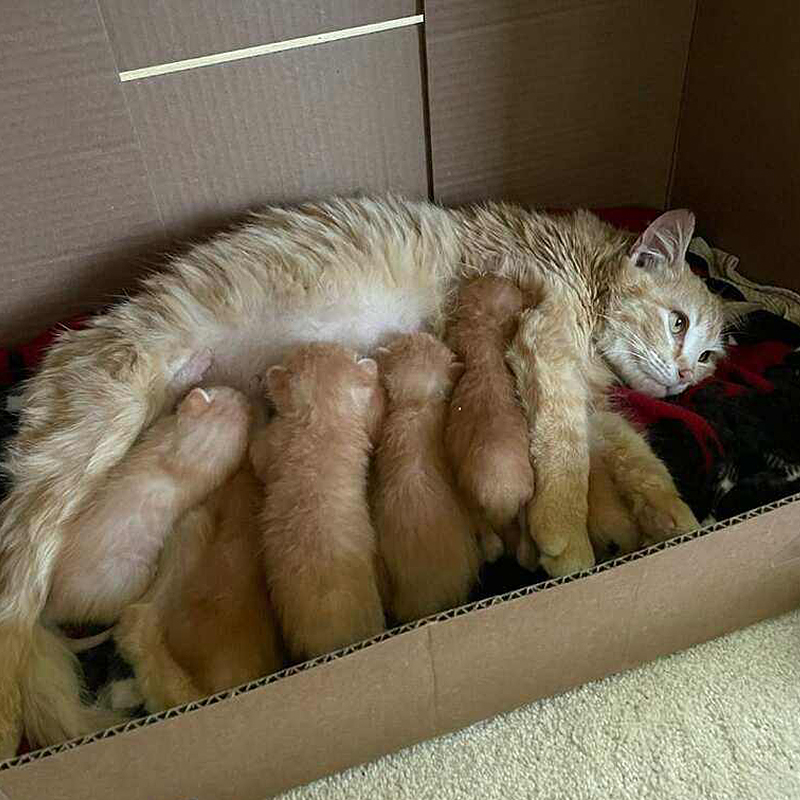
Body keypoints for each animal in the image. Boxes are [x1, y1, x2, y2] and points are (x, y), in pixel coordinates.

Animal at [446, 276, 536, 564]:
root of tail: (502, 495)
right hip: (527, 492)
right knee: (524, 526)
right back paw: (528, 555)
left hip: (468, 493)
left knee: (485, 529)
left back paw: (491, 549)